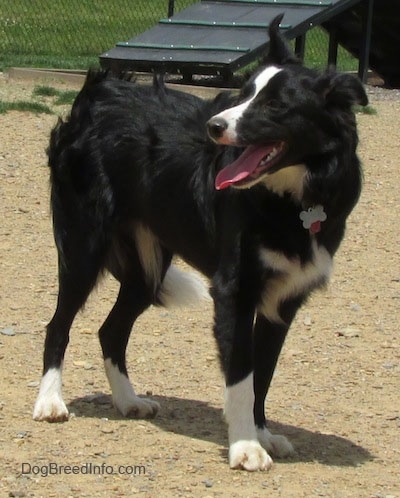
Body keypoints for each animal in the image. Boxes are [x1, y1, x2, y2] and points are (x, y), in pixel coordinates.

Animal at [34, 15, 368, 470]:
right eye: (244, 93)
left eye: (275, 106)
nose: (214, 127)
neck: (294, 197)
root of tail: (95, 94)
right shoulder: (234, 292)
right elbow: (241, 377)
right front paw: (246, 446)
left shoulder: (283, 302)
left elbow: (262, 375)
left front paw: (262, 434)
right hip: (83, 248)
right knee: (58, 326)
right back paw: (50, 401)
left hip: (147, 271)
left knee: (110, 331)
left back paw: (128, 400)